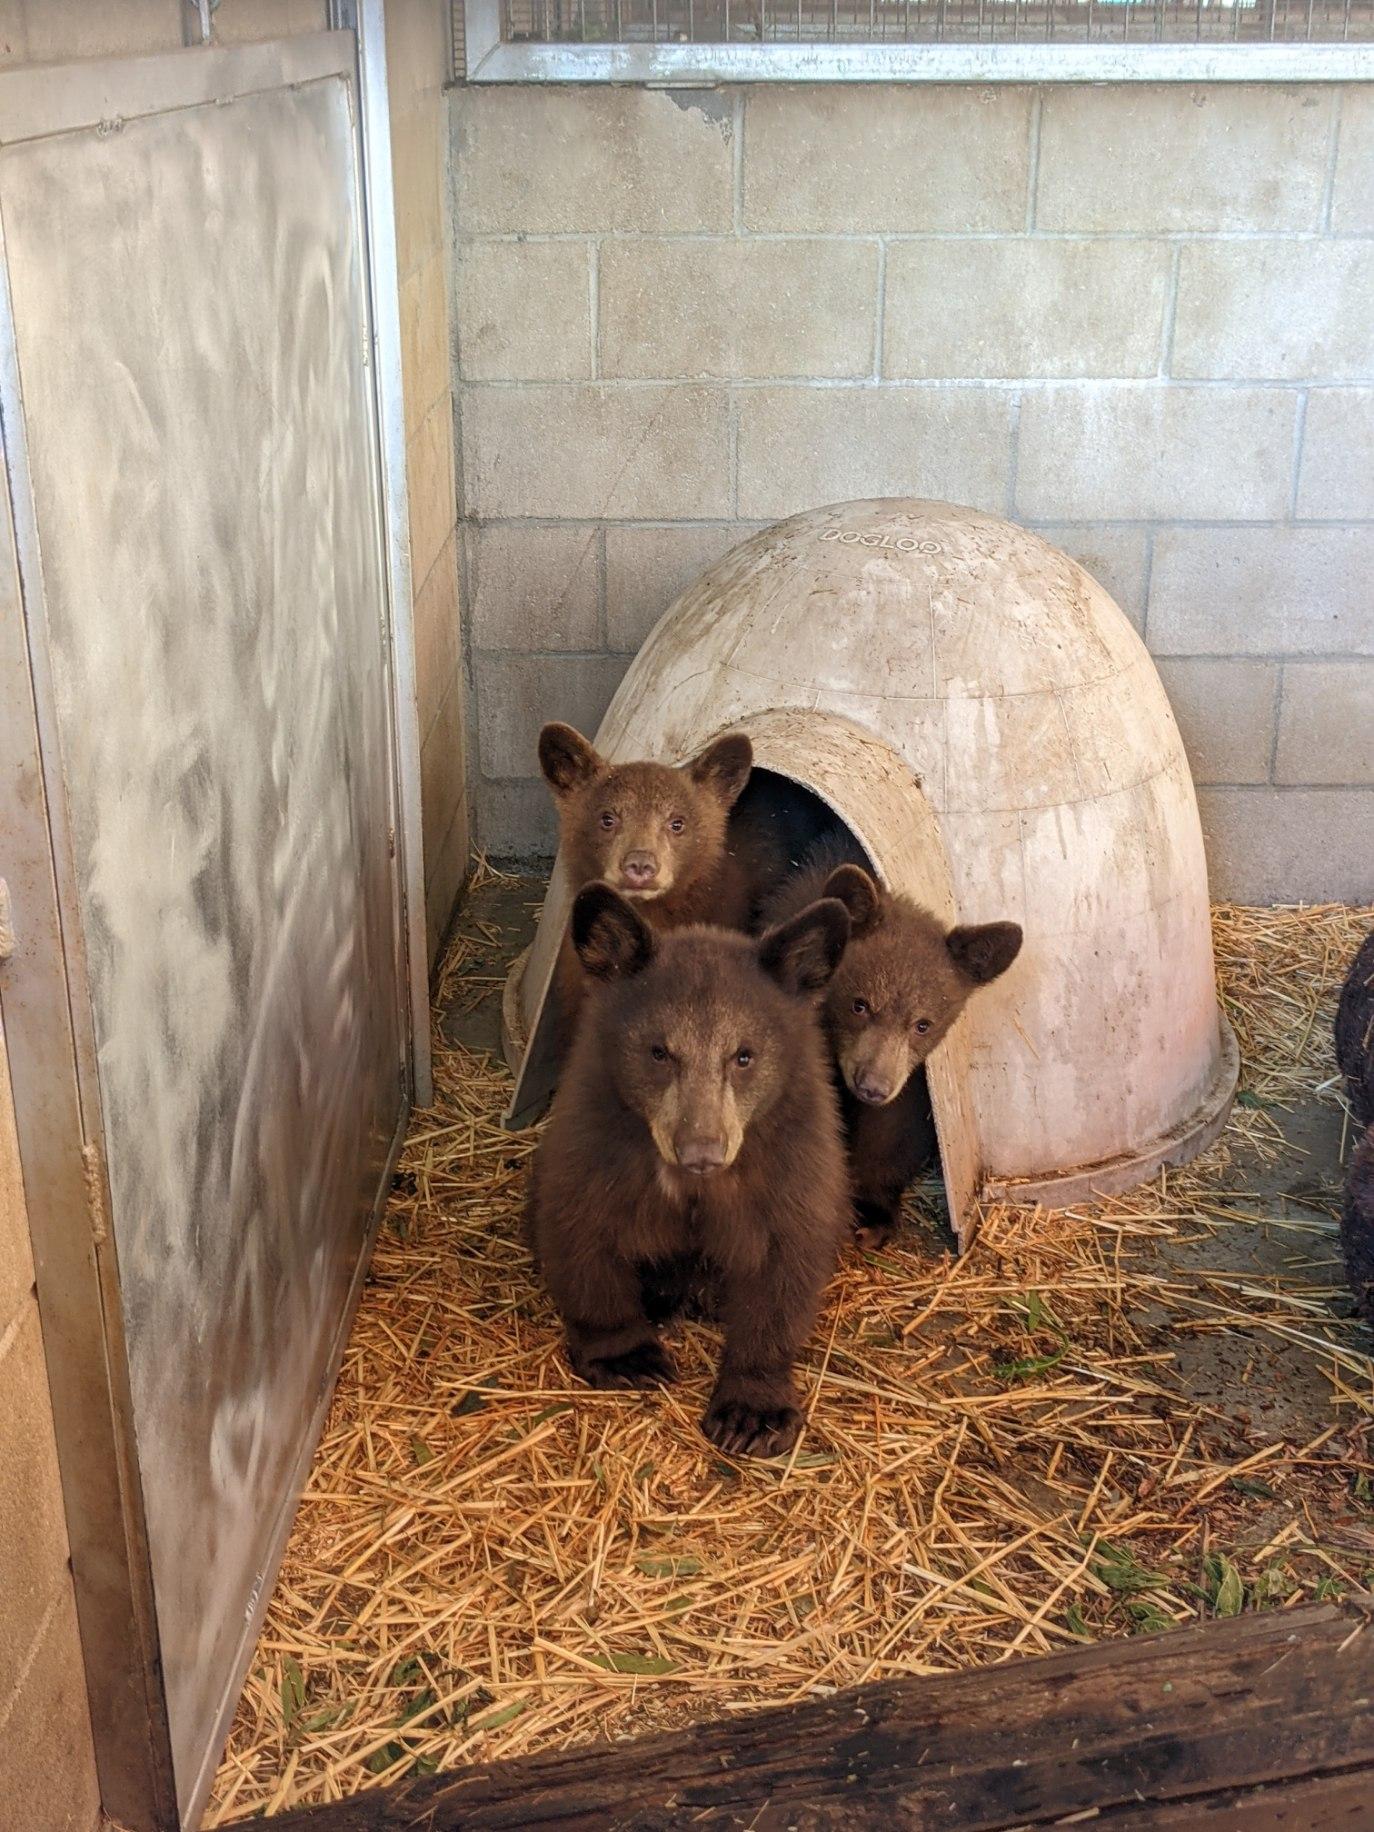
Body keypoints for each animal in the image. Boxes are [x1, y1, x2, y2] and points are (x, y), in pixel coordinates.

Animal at [525, 881, 852, 1459]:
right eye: (659, 1051)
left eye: (744, 1055)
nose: (701, 1150)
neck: (696, 1186)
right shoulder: (593, 1141)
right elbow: (582, 1240)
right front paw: (626, 1356)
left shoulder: (794, 1166)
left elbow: (784, 1270)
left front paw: (753, 1411)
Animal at [761, 833, 1023, 1249]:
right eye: (859, 1004)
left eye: (923, 1025)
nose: (873, 1085)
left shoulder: (910, 1083)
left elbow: (892, 1134)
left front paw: (874, 1215)